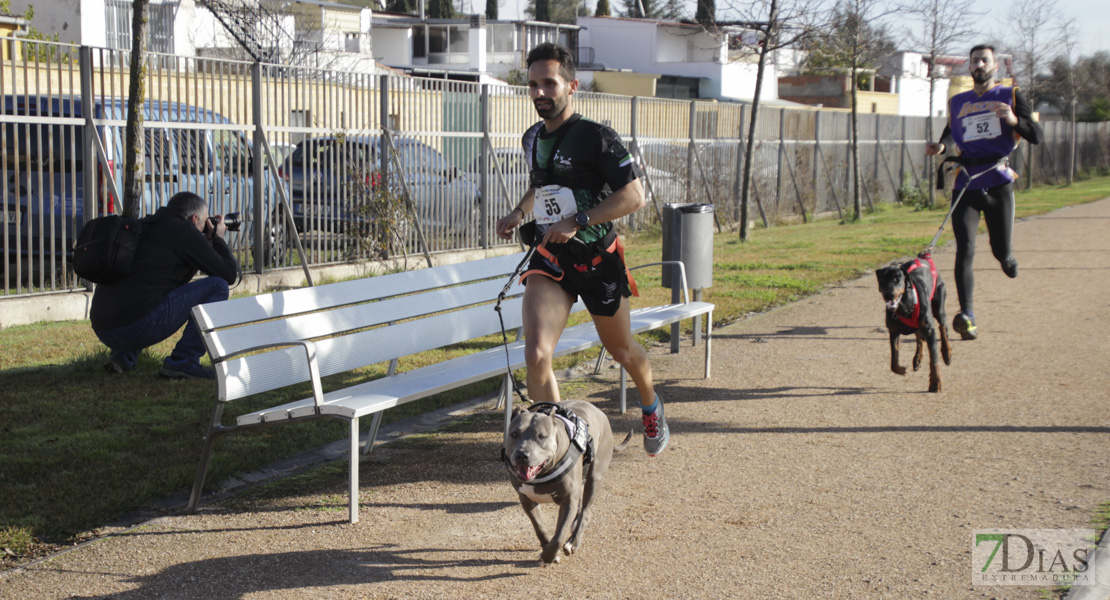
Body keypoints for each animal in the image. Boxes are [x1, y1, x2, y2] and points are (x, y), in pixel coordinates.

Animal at [506, 399, 634, 563]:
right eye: (514, 434)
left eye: (541, 436)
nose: (522, 454)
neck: (542, 474)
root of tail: (599, 412)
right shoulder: (526, 500)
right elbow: (539, 526)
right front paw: (547, 548)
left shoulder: (568, 502)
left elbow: (559, 536)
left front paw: (548, 556)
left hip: (595, 477)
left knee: (585, 512)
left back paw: (573, 543)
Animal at [874, 252, 954, 392]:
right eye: (882, 280)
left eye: (897, 279)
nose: (889, 295)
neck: (904, 306)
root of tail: (924, 257)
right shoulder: (893, 331)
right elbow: (894, 361)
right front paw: (901, 369)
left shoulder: (929, 330)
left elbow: (934, 359)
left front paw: (935, 383)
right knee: (919, 338)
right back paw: (917, 359)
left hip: (939, 303)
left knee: (943, 326)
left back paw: (946, 353)